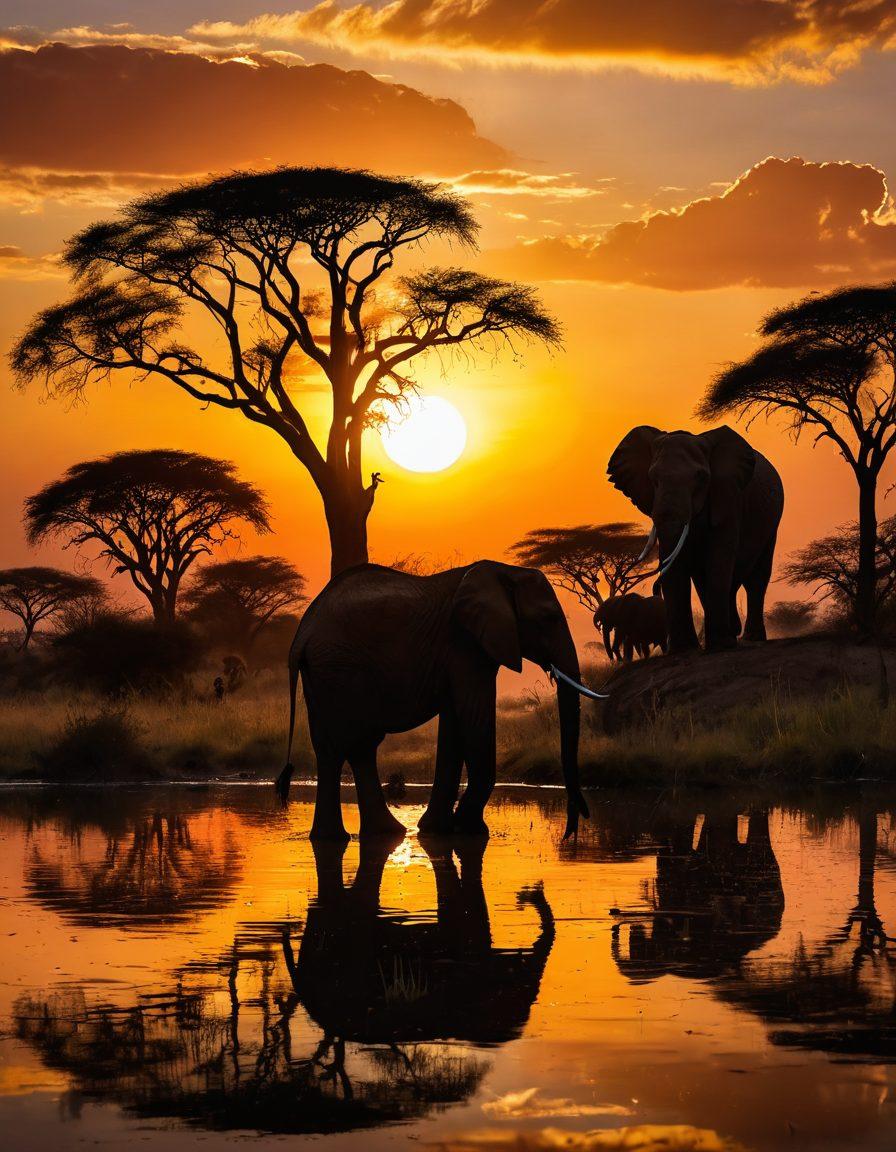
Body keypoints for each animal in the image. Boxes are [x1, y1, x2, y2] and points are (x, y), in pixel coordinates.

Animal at [277, 560, 602, 841]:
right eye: (548, 619)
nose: (571, 831)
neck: (504, 571)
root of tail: (302, 634)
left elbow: (454, 726)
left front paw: (436, 829)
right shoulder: (465, 646)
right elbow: (474, 718)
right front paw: (468, 829)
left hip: (322, 674)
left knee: (337, 748)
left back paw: (356, 835)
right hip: (339, 670)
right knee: (352, 743)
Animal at [608, 425, 784, 652]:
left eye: (701, 477)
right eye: (653, 479)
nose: (655, 590)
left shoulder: (728, 498)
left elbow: (719, 557)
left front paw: (721, 646)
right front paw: (684, 650)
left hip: (771, 523)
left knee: (756, 578)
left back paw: (748, 638)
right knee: (705, 579)